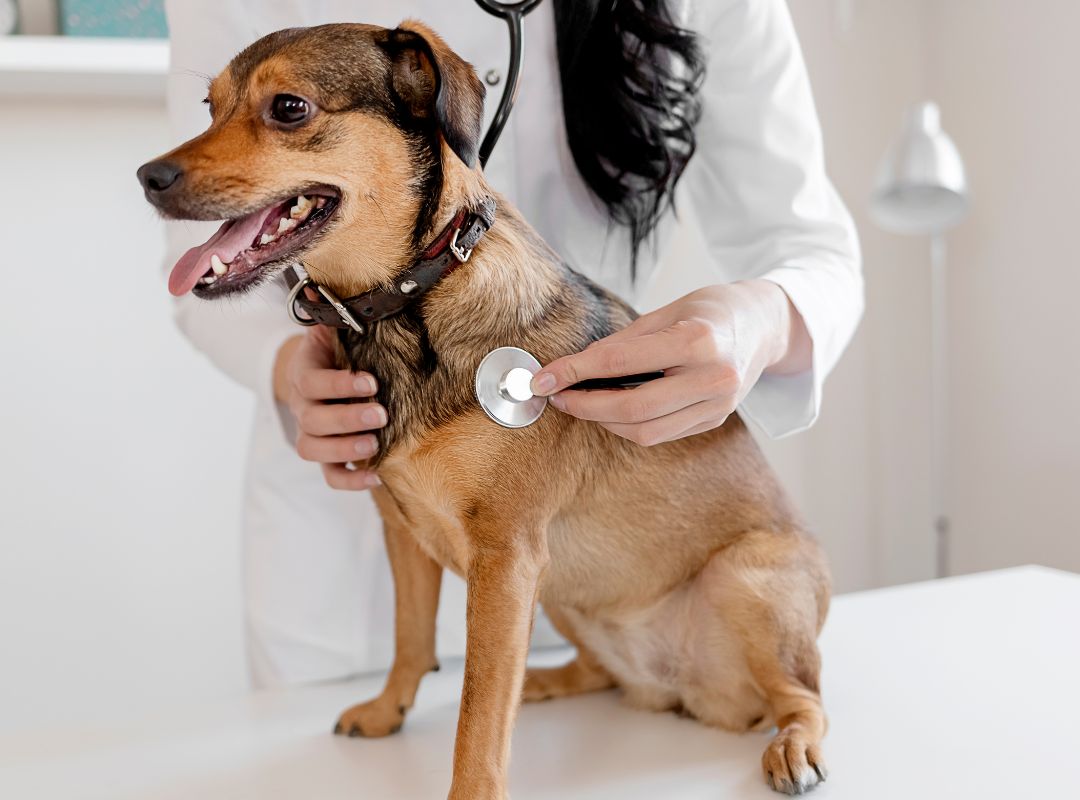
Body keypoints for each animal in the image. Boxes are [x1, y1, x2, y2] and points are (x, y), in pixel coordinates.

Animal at [141, 20, 833, 798]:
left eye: (288, 108)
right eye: (208, 107)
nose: (147, 177)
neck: (409, 305)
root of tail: (686, 692)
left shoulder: (506, 555)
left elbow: (479, 710)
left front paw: (470, 784)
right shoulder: (405, 530)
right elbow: (411, 639)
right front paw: (388, 709)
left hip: (744, 579)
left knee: (806, 698)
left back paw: (793, 747)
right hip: (563, 589)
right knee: (597, 673)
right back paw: (547, 682)